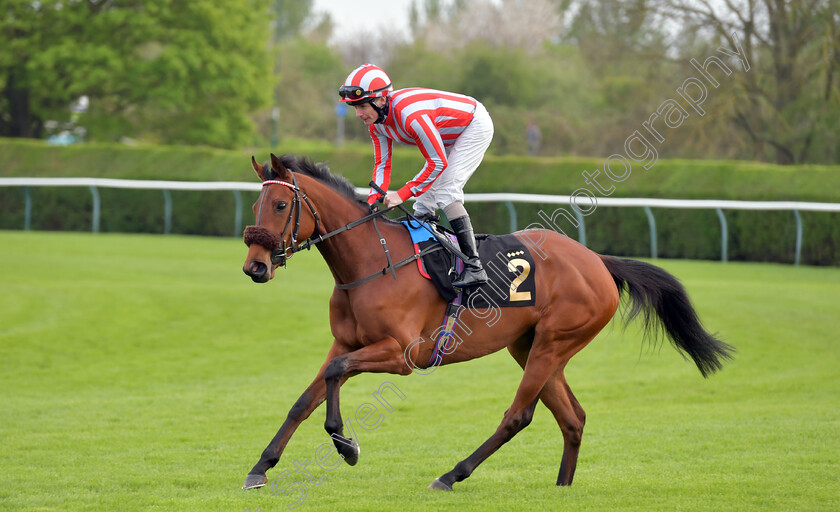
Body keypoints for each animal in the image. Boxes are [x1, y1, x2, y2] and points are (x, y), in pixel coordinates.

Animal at [240, 153, 732, 492]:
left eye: (281, 204)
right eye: (256, 203)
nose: (255, 267)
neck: (371, 262)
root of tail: (597, 260)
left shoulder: (401, 356)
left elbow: (335, 377)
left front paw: (346, 444)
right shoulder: (344, 343)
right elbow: (306, 398)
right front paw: (260, 467)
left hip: (553, 342)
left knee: (518, 415)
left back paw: (451, 475)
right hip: (530, 346)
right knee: (572, 417)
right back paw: (562, 486)